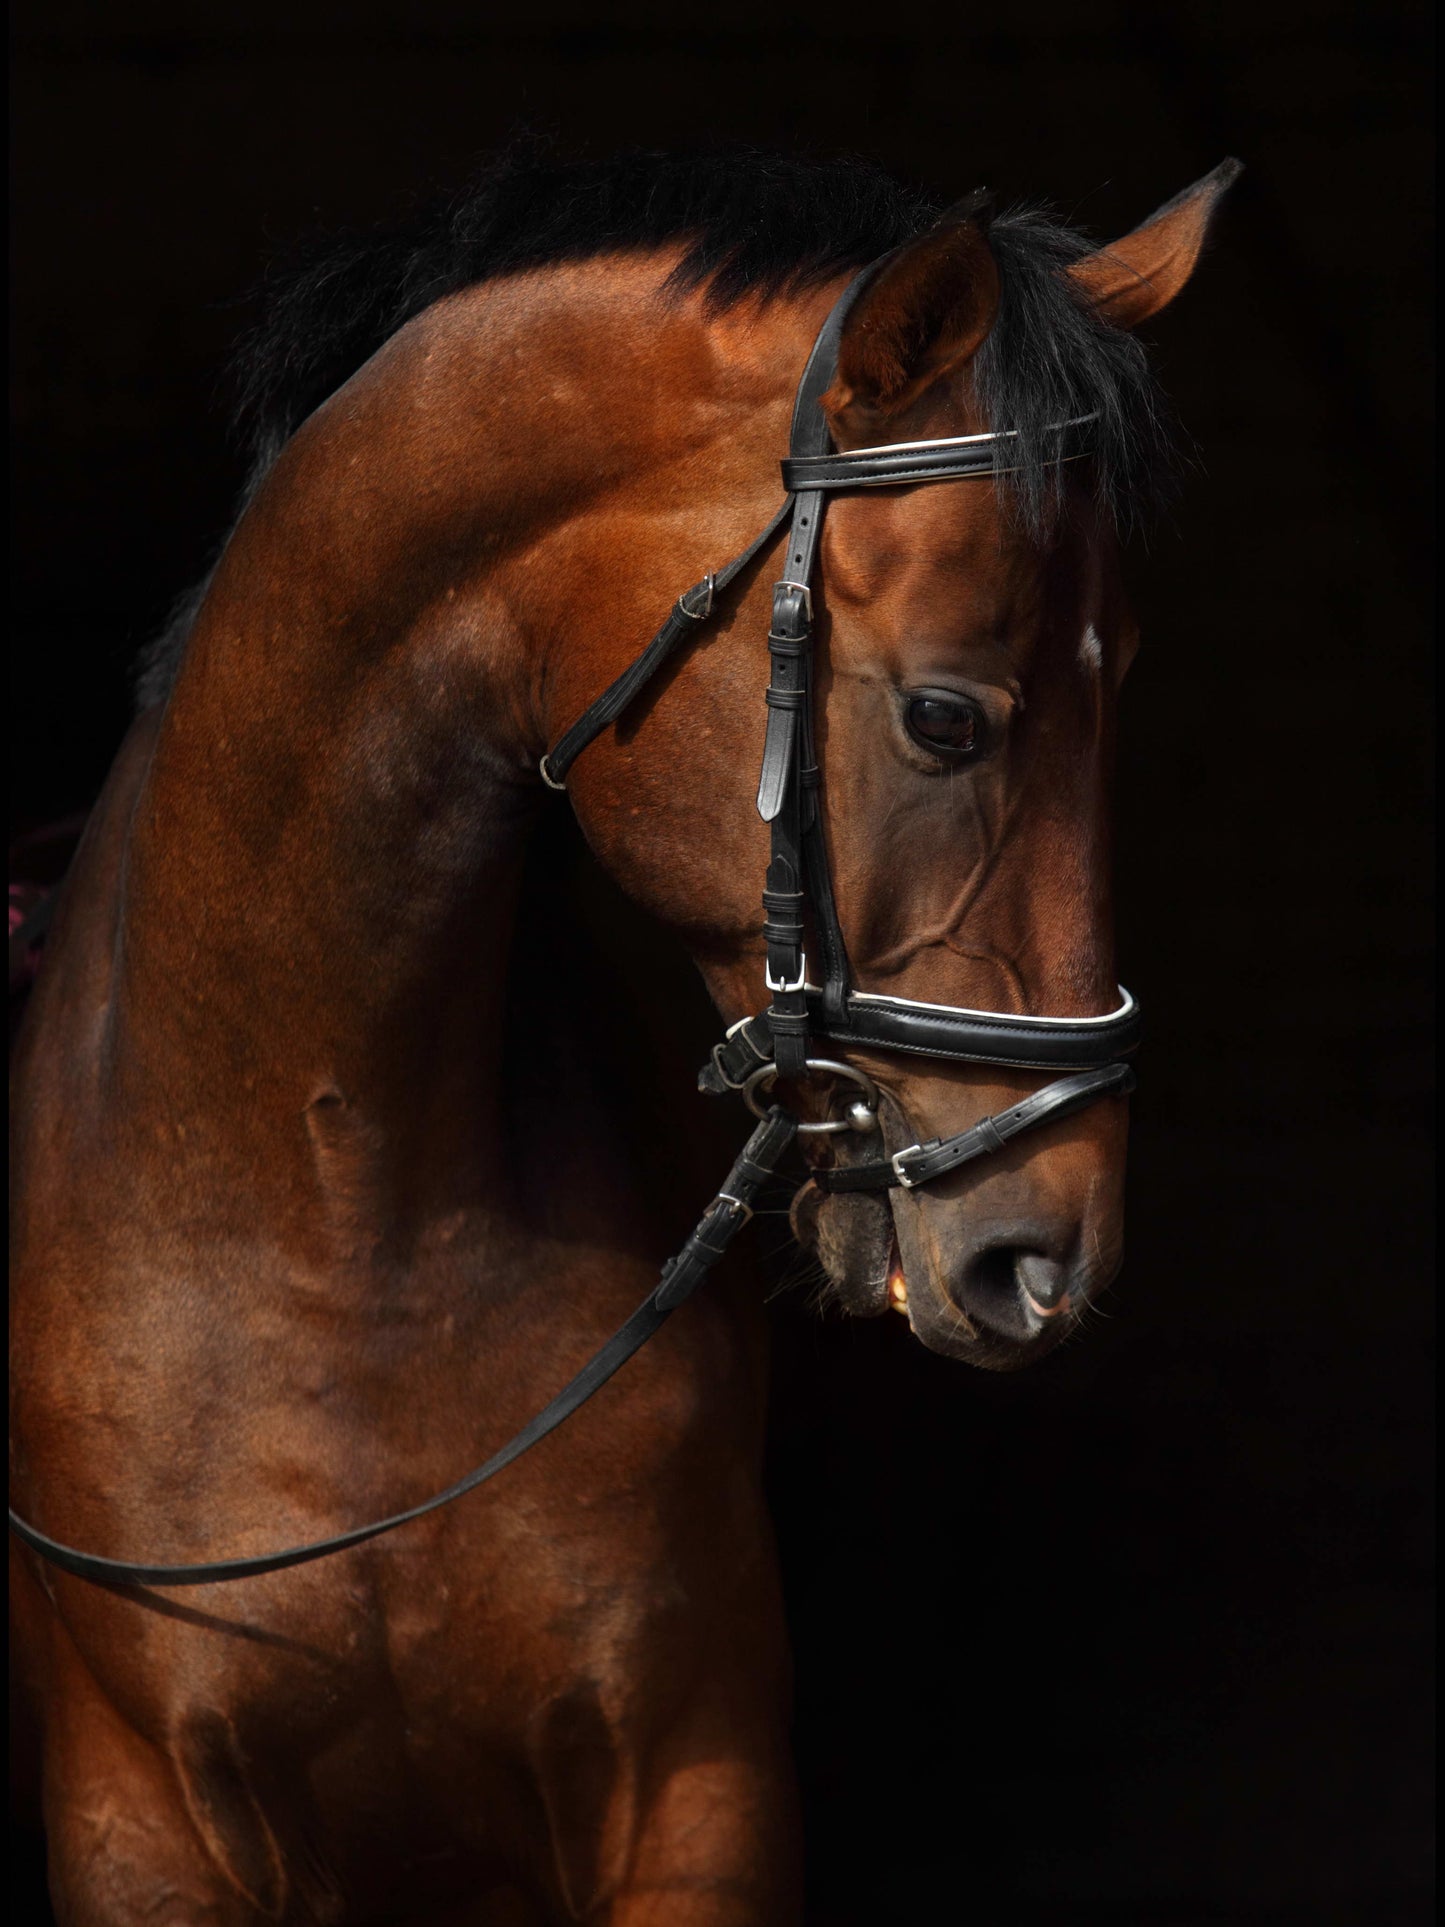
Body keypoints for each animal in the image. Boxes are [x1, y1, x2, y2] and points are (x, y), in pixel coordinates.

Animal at [8, 142, 1233, 1919]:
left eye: (1121, 675)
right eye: (945, 714)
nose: (1045, 1252)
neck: (329, 1203)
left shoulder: (692, 1789)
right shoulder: (143, 1822)